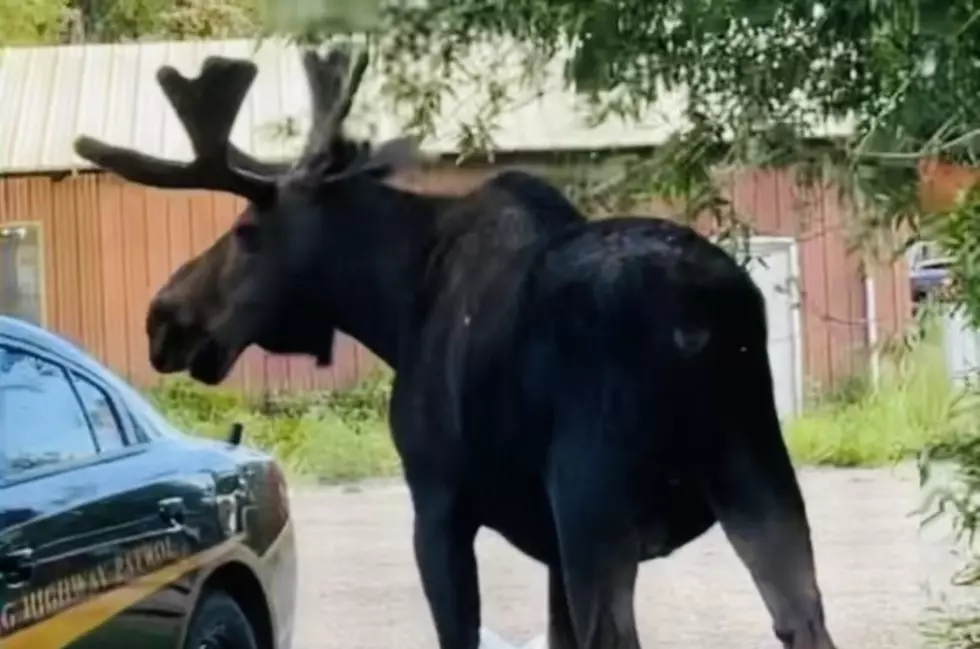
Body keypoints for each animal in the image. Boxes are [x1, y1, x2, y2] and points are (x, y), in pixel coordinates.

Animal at [74, 44, 844, 648]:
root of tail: (703, 321)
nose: (162, 318)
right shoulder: (548, 541)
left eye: (245, 230)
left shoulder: (440, 502)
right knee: (804, 621)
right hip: (759, 472)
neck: (393, 304)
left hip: (594, 497)